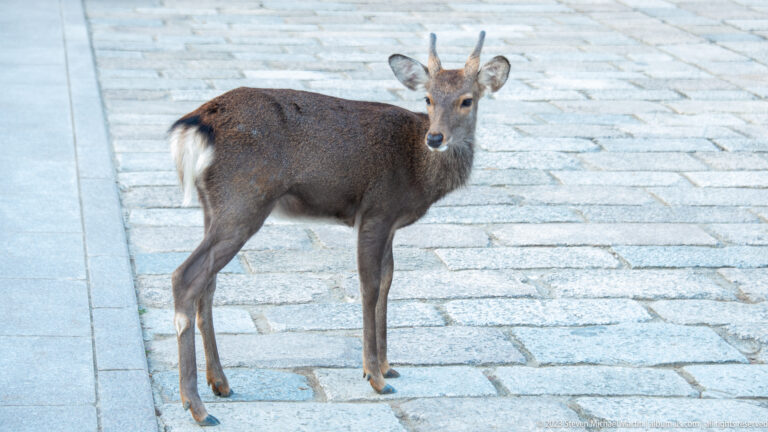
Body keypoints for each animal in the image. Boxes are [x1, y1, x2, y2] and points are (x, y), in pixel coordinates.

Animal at [169, 32, 509, 426]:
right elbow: (370, 285)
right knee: (185, 276)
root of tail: (195, 125)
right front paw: (374, 376)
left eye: (467, 100)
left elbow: (388, 280)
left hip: (214, 206)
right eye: (427, 98)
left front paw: (388, 366)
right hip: (244, 199)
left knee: (207, 284)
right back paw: (196, 406)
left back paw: (220, 383)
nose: (435, 138)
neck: (418, 173)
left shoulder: (390, 222)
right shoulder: (376, 209)